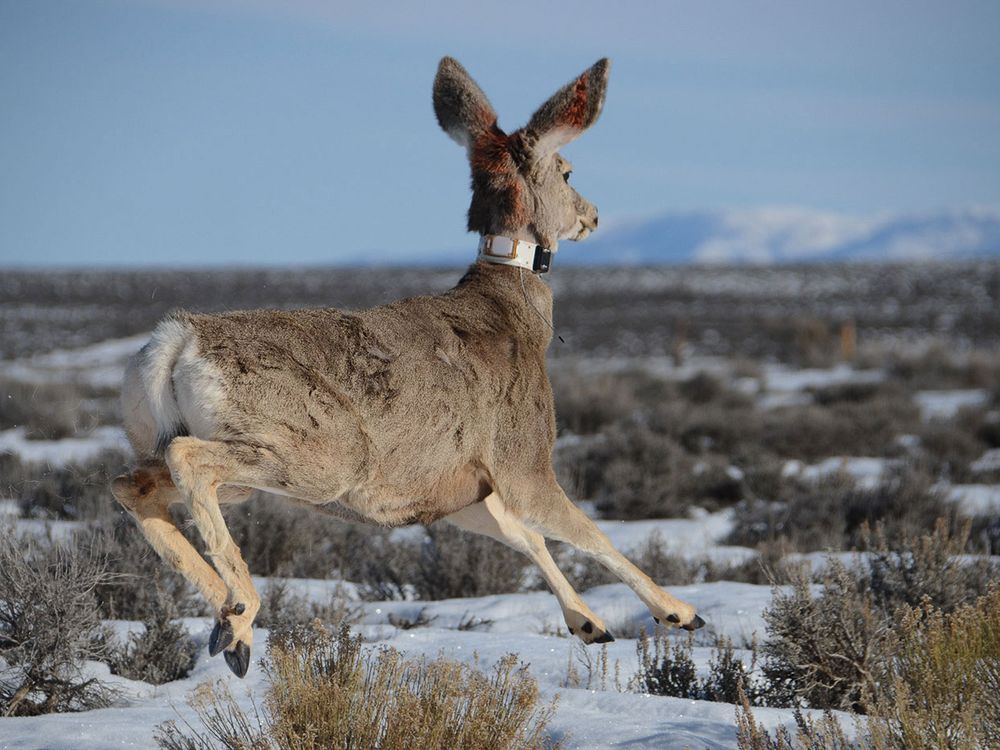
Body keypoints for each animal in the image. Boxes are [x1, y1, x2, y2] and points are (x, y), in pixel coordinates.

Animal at [109, 57, 704, 680]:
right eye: (567, 172)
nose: (594, 215)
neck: (513, 310)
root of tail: (177, 340)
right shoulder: (522, 458)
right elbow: (586, 532)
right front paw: (680, 612)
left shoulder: (459, 488)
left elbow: (524, 538)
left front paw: (589, 624)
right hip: (321, 452)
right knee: (187, 460)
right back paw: (242, 609)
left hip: (209, 460)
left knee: (133, 485)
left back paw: (232, 631)